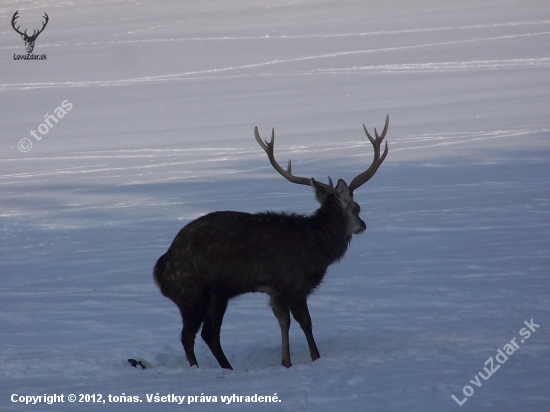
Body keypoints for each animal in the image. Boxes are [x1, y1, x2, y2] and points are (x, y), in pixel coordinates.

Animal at [153, 116, 390, 370]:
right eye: (357, 208)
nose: (363, 225)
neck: (317, 247)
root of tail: (160, 270)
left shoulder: (275, 290)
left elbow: (283, 322)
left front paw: (285, 361)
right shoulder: (293, 282)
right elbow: (306, 322)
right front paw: (315, 357)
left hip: (217, 294)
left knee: (209, 333)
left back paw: (228, 368)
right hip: (192, 292)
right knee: (188, 335)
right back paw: (197, 368)